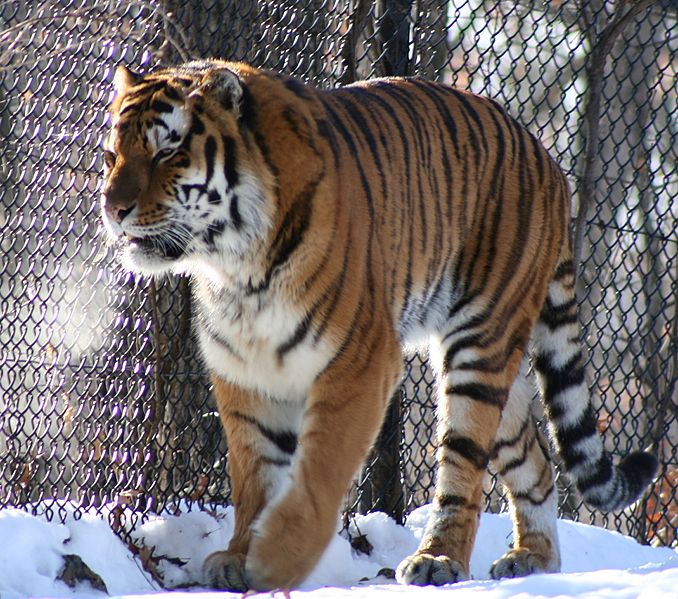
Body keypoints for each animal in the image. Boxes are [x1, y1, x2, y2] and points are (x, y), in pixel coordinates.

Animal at [100, 59, 658, 591]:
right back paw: (533, 557)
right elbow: (255, 478)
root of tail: (547, 159)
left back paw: (438, 559)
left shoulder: (359, 362)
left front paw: (277, 558)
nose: (112, 207)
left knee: (463, 465)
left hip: (480, 346)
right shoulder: (245, 372)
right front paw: (240, 555)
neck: (237, 269)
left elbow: (318, 473)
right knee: (536, 461)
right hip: (505, 370)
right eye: (111, 156)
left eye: (167, 152)